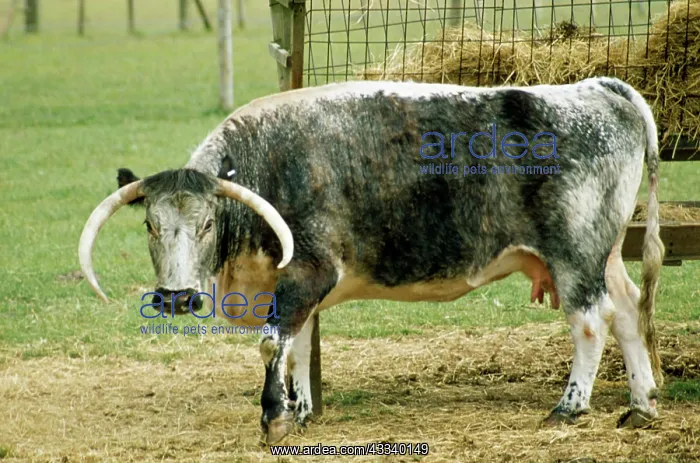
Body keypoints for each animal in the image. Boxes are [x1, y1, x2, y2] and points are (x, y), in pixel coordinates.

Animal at [79, 77, 664, 444]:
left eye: (206, 224)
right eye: (151, 226)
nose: (176, 298)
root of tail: (596, 88)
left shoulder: (307, 273)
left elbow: (272, 343)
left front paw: (274, 418)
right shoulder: (293, 288)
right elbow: (297, 348)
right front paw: (301, 412)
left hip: (575, 255)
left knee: (591, 321)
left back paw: (570, 406)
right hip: (607, 253)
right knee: (628, 311)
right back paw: (641, 404)